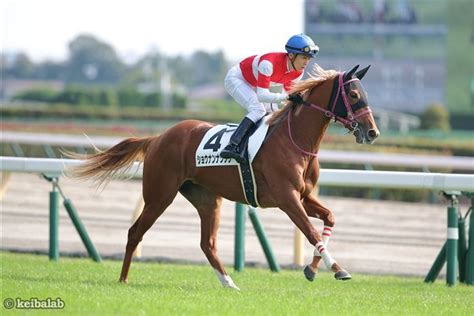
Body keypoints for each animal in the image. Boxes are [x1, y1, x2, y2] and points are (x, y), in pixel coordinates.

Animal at [70, 65, 380, 292]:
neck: (295, 139)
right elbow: (311, 231)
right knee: (135, 232)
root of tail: (158, 137)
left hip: (207, 199)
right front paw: (337, 269)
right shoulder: (287, 198)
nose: (372, 132)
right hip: (160, 194)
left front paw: (313, 268)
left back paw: (229, 282)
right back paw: (123, 278)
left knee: (207, 244)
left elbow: (329, 218)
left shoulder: (304, 196)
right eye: (353, 95)